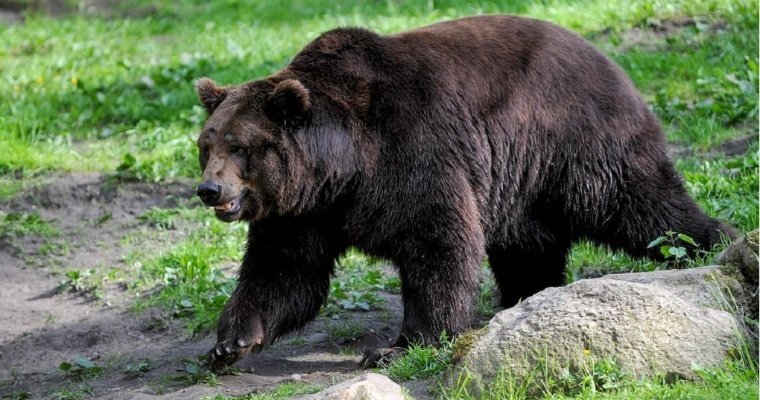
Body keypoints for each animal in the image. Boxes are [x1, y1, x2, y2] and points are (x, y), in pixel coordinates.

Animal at [194, 15, 736, 370]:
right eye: (206, 144)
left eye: (241, 145)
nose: (209, 189)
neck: (343, 167)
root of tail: (612, 62)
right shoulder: (303, 212)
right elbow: (285, 271)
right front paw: (229, 342)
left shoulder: (413, 152)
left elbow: (438, 243)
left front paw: (397, 345)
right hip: (522, 183)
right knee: (528, 246)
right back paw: (522, 297)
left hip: (576, 144)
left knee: (642, 207)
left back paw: (711, 243)